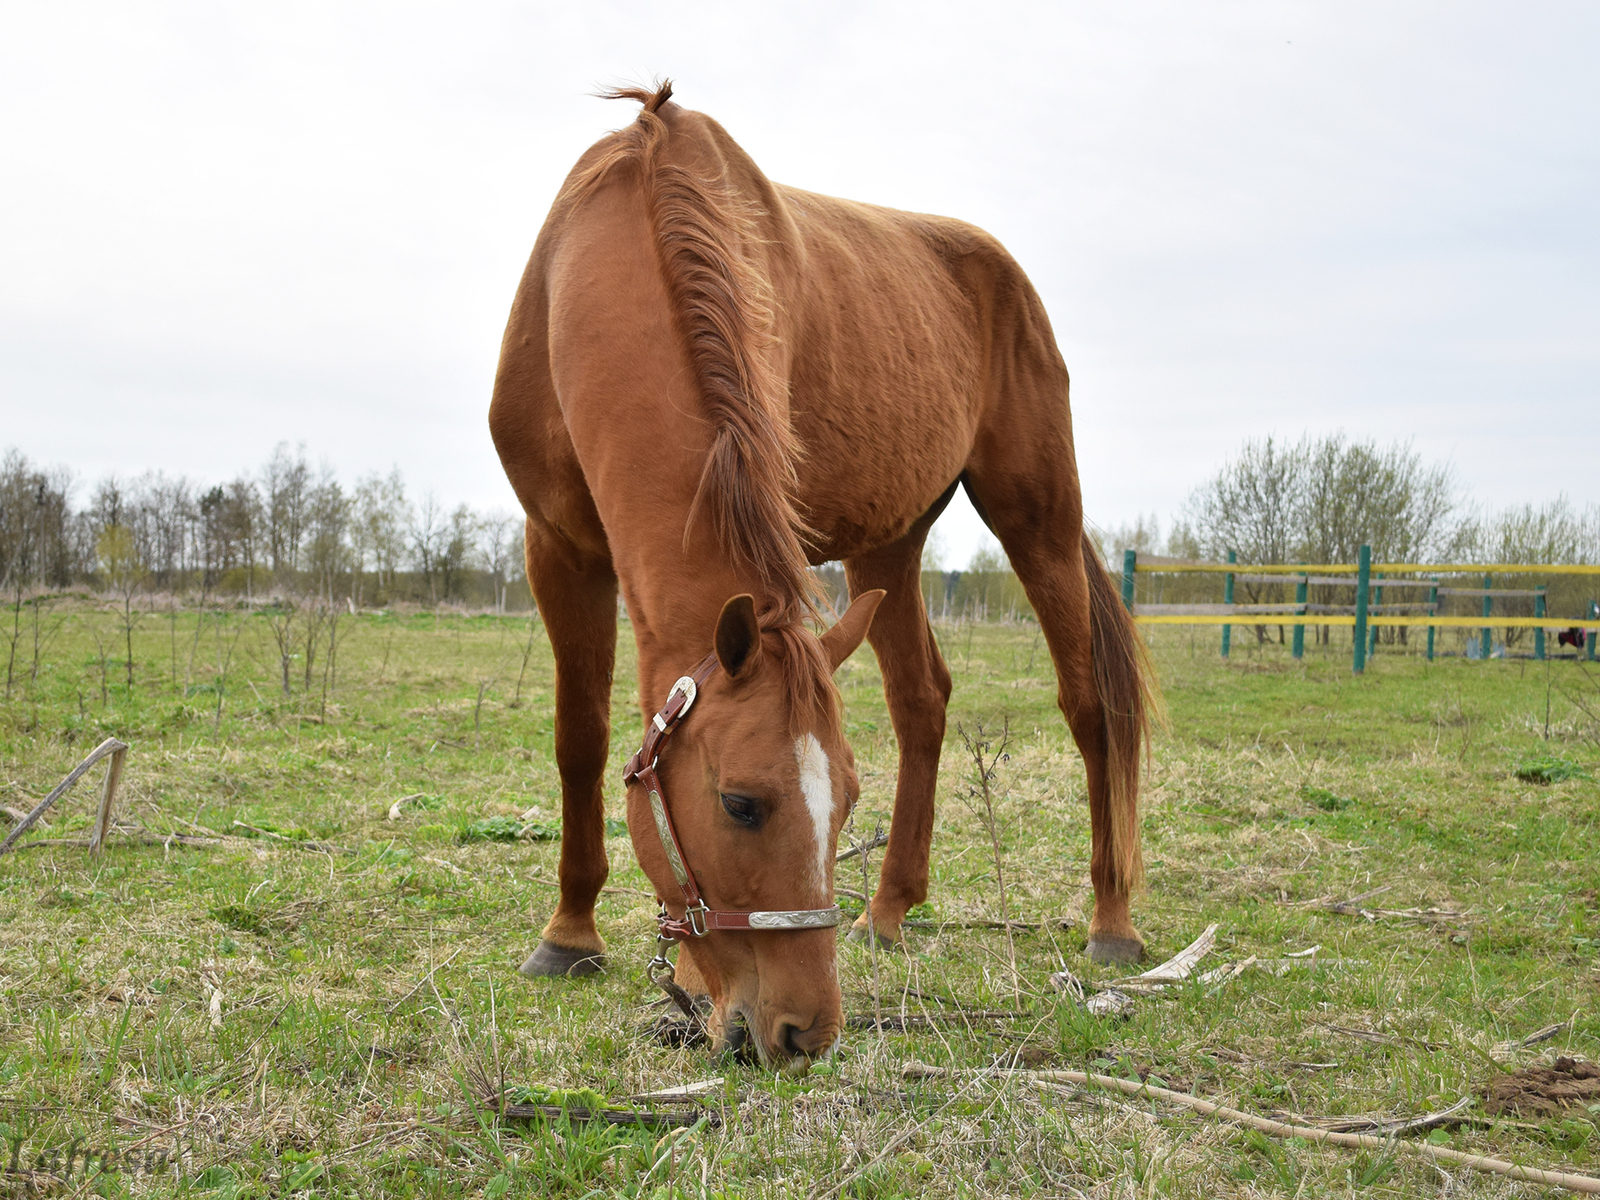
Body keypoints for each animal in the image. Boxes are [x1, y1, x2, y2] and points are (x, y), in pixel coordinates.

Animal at [486, 84, 1152, 1068]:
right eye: (742, 804)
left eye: (844, 801)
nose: (806, 1032)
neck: (618, 241)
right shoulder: (557, 547)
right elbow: (582, 741)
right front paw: (570, 935)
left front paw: (680, 981)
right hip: (891, 545)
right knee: (922, 699)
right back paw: (888, 910)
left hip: (1039, 518)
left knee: (1089, 706)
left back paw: (1111, 922)